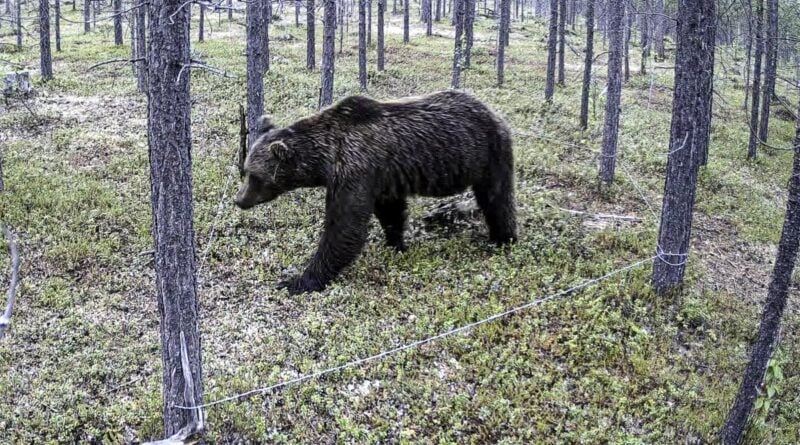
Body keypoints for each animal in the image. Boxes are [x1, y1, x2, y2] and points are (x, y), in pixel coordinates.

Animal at [234, 89, 516, 294]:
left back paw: (503, 239)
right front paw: (395, 242)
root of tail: (494, 112)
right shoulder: (382, 177)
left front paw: (298, 281)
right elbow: (390, 211)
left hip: (489, 154)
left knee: (497, 198)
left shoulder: (355, 170)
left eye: (255, 176)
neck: (326, 159)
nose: (239, 200)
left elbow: (344, 228)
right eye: (246, 169)